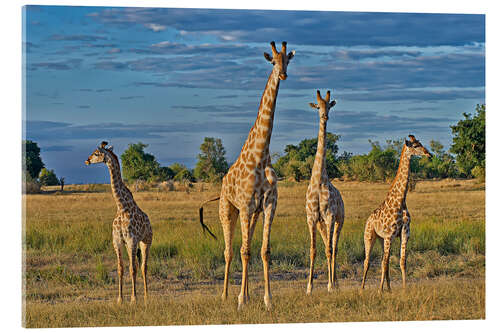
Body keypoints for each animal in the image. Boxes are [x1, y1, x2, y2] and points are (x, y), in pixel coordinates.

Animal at [86, 141, 152, 302]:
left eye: (96, 153)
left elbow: (132, 269)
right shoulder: (117, 241)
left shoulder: (132, 240)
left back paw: (146, 296)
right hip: (134, 244)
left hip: (146, 241)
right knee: (138, 265)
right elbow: (121, 268)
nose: (87, 160)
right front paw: (120, 299)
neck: (122, 207)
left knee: (143, 266)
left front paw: (133, 299)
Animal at [198, 40, 292, 308]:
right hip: (228, 210)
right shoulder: (246, 205)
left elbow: (263, 251)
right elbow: (244, 251)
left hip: (251, 214)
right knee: (230, 250)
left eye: (288, 60)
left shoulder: (268, 205)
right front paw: (240, 300)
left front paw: (267, 299)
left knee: (244, 246)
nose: (283, 74)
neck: (260, 155)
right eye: (273, 61)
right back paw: (226, 295)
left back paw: (248, 293)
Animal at [360, 135, 434, 290]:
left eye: (421, 143)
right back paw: (362, 289)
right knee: (367, 261)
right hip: (369, 236)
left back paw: (388, 289)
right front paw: (379, 291)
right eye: (416, 145)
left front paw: (403, 289)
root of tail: (368, 219)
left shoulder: (404, 233)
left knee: (384, 260)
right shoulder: (389, 235)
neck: (401, 201)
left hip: (381, 239)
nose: (429, 154)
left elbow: (402, 261)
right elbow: (384, 264)